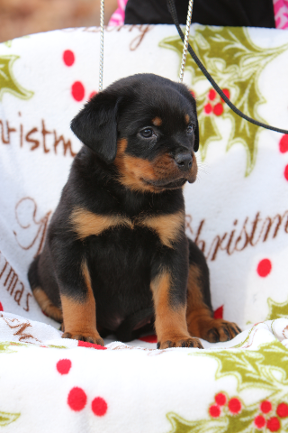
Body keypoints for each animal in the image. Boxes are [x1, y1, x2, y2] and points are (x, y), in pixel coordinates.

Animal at [28, 71, 241, 348]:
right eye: (147, 132)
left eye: (189, 128)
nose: (186, 159)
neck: (131, 194)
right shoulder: (68, 241)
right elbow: (79, 294)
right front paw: (81, 333)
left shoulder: (171, 246)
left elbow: (172, 299)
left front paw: (176, 337)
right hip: (35, 271)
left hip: (193, 252)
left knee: (197, 301)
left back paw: (212, 324)